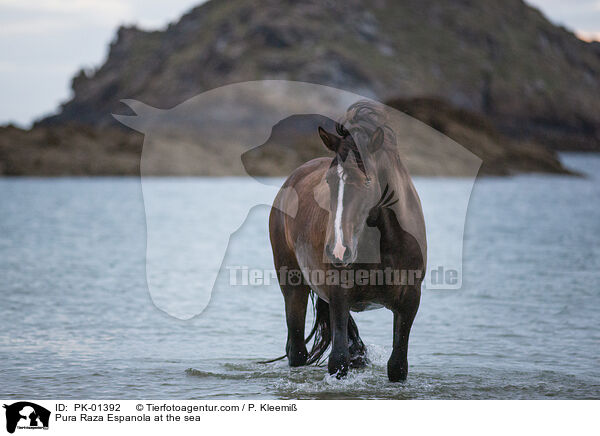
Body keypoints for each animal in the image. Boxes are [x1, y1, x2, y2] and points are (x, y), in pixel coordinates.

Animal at [268, 100, 426, 380]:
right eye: (328, 180)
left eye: (368, 181)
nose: (338, 250)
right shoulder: (339, 297)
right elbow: (338, 361)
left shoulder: (409, 301)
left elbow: (397, 366)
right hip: (293, 286)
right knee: (296, 351)